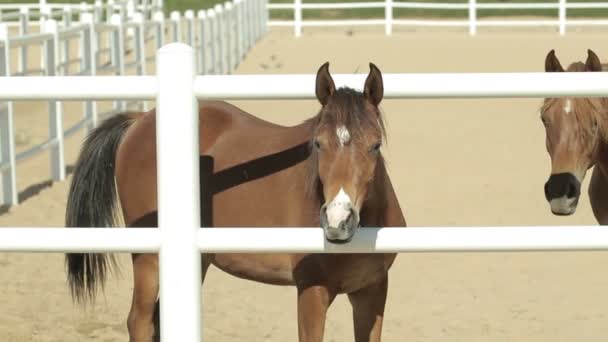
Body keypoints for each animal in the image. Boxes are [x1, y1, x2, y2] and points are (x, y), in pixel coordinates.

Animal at [64, 62, 406, 340]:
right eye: (319, 144)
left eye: (375, 145)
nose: (338, 220)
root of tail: (139, 121)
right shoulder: (312, 291)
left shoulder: (372, 291)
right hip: (148, 259)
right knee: (139, 322)